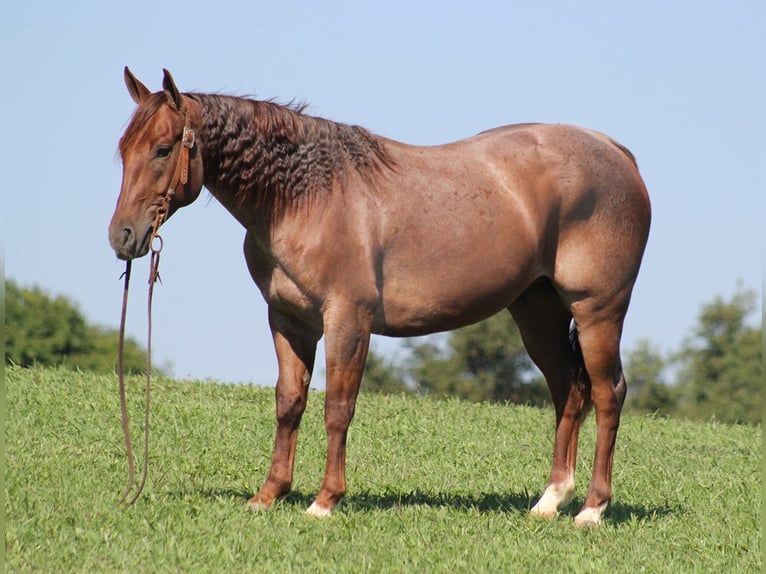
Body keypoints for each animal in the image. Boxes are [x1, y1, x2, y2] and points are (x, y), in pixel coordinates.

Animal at [109, 67, 656, 528]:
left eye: (163, 149)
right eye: (123, 149)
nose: (123, 236)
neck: (306, 196)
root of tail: (616, 152)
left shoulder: (348, 321)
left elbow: (338, 407)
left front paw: (324, 501)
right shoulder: (287, 320)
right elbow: (289, 402)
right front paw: (268, 495)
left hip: (597, 312)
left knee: (608, 394)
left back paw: (592, 509)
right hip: (537, 313)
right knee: (569, 391)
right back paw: (549, 501)